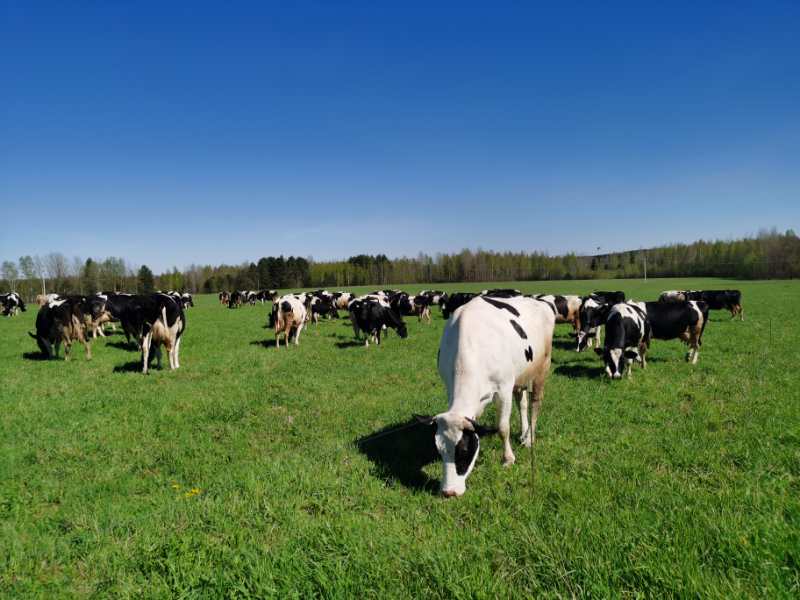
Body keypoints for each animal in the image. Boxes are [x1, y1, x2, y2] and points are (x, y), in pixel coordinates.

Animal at [420, 295, 555, 497]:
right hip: (520, 375)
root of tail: (539, 301)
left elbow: (503, 428)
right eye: (440, 450)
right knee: (522, 403)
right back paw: (523, 433)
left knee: (535, 404)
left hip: (542, 367)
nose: (449, 492)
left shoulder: (504, 388)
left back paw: (529, 438)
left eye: (464, 450)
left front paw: (508, 459)